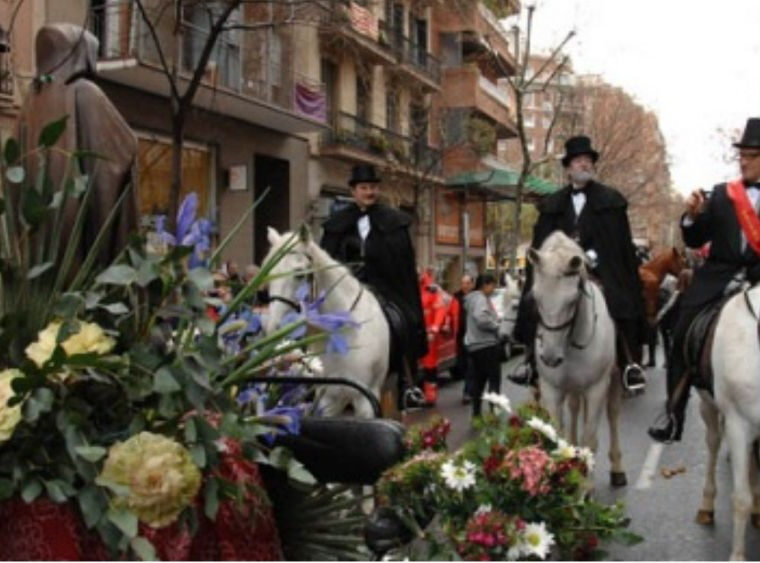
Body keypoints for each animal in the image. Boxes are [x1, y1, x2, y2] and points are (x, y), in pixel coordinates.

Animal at [524, 231, 628, 486]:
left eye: (572, 301)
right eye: (536, 298)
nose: (550, 357)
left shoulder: (596, 388)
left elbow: (590, 439)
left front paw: (585, 487)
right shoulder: (551, 388)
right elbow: (556, 436)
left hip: (614, 377)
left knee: (613, 414)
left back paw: (617, 468)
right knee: (573, 408)